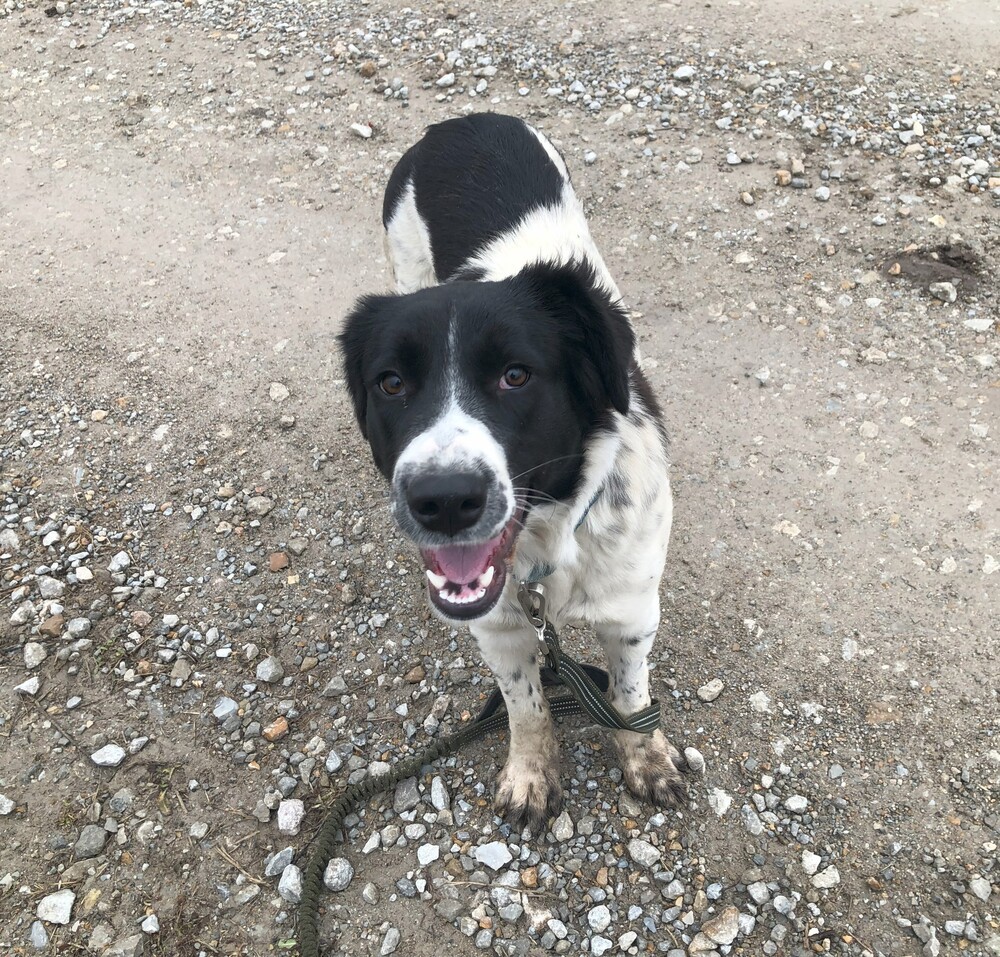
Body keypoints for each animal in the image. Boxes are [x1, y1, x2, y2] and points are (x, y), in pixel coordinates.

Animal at [340, 114, 684, 828]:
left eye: (516, 375)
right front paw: (531, 774)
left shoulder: (634, 609)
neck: (551, 541)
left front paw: (646, 758)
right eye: (391, 383)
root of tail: (460, 121)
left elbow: (631, 697)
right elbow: (526, 706)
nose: (442, 500)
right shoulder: (497, 627)